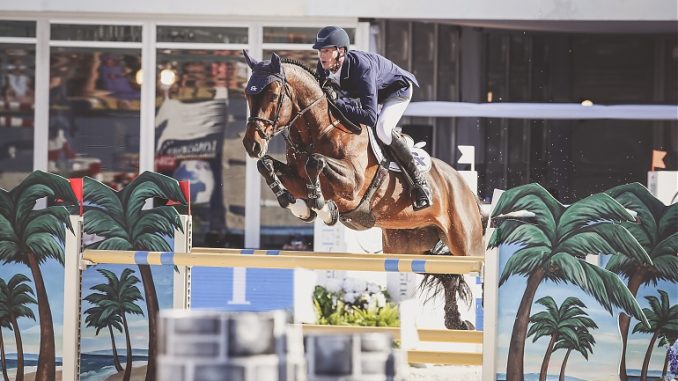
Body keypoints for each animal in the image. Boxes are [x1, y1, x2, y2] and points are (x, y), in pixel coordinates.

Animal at [242, 51, 486, 330]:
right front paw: (300, 206)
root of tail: (464, 186)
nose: (251, 144)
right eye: (248, 95)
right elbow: (266, 165)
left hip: (467, 245)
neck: (319, 131)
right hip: (408, 250)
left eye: (273, 95)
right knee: (449, 274)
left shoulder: (353, 185)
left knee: (473, 269)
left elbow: (315, 162)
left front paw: (322, 208)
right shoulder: (296, 177)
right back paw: (456, 321)